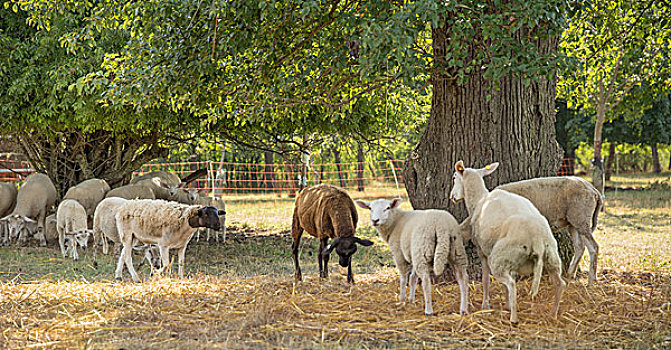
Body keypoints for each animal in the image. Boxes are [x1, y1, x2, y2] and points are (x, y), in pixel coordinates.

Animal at [452, 160, 568, 324]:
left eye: (454, 177)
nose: (452, 197)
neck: (479, 199)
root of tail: (537, 239)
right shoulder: (511, 261)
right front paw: (507, 304)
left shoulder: (482, 250)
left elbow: (486, 279)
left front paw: (485, 305)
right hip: (550, 257)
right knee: (559, 284)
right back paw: (553, 314)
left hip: (499, 258)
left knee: (512, 284)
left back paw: (513, 318)